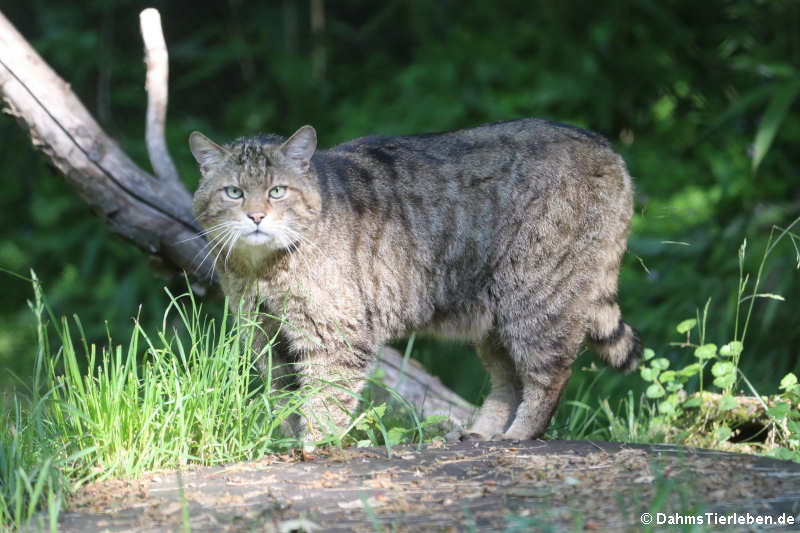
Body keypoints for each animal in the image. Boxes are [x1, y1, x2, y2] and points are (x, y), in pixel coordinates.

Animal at [189, 119, 644, 444]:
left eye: (277, 191)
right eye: (233, 192)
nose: (256, 216)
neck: (260, 271)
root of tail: (605, 147)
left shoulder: (335, 335)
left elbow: (325, 398)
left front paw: (315, 444)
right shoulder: (264, 336)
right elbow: (284, 399)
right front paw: (281, 440)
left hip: (535, 298)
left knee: (549, 374)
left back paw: (520, 434)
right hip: (494, 319)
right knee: (508, 381)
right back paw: (483, 432)